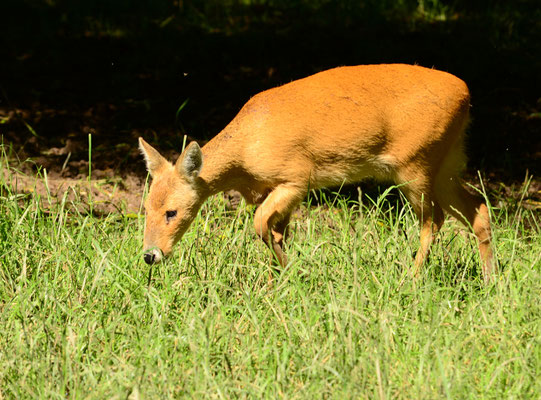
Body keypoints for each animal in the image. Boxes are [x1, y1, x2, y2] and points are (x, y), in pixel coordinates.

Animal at [138, 63, 494, 282]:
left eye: (172, 212)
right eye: (146, 209)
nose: (150, 255)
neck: (246, 153)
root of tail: (464, 92)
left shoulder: (296, 177)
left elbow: (260, 224)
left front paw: (294, 272)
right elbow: (276, 231)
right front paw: (277, 282)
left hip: (416, 162)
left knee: (433, 219)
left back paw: (412, 278)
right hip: (446, 161)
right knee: (477, 207)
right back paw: (492, 280)